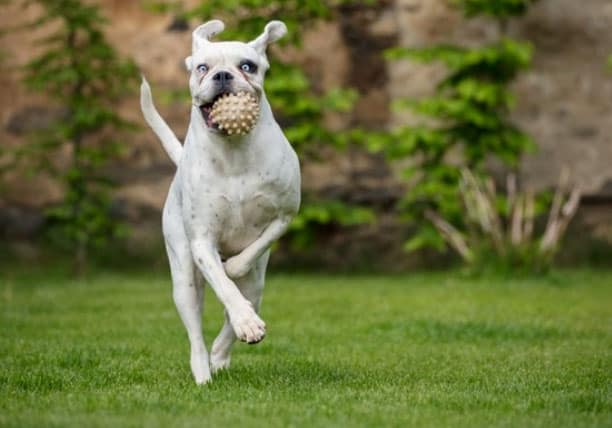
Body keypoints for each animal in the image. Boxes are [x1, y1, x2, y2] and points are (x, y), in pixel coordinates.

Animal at [139, 19, 302, 384]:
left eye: (248, 66)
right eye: (203, 68)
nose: (224, 75)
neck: (234, 151)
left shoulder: (284, 215)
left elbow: (249, 256)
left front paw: (237, 281)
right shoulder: (201, 242)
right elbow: (225, 289)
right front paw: (245, 321)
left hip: (257, 282)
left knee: (245, 296)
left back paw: (222, 354)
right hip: (184, 280)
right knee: (196, 330)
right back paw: (203, 371)